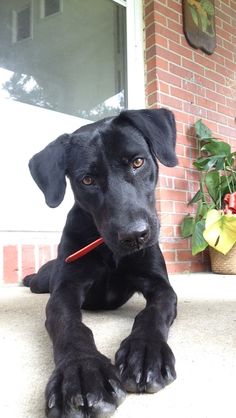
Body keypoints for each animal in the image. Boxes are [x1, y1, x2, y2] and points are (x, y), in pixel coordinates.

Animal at [24, 108, 179, 418]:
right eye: (87, 180)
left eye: (138, 162)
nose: (134, 236)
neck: (108, 250)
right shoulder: (65, 289)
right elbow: (69, 324)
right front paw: (81, 371)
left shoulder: (160, 285)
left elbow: (153, 311)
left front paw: (145, 352)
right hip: (43, 282)